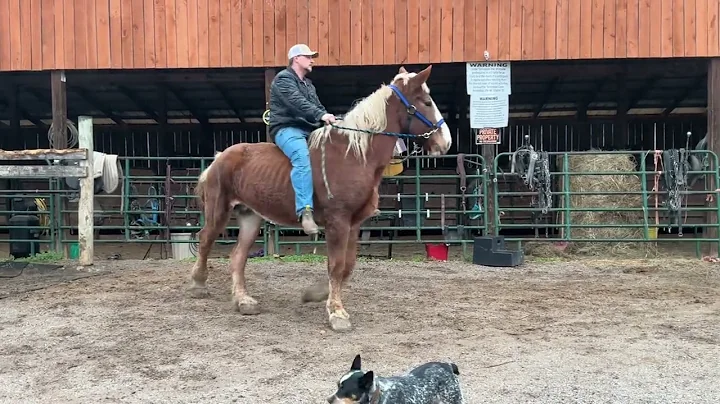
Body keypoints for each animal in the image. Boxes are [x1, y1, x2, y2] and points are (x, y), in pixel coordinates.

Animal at [190, 65, 452, 332]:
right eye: (427, 102)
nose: (446, 142)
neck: (354, 155)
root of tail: (219, 157)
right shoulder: (338, 222)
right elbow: (335, 266)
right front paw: (337, 313)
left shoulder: (354, 224)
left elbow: (346, 266)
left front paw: (316, 294)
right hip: (219, 211)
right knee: (205, 240)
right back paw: (199, 284)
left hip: (250, 217)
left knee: (238, 256)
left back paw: (243, 300)